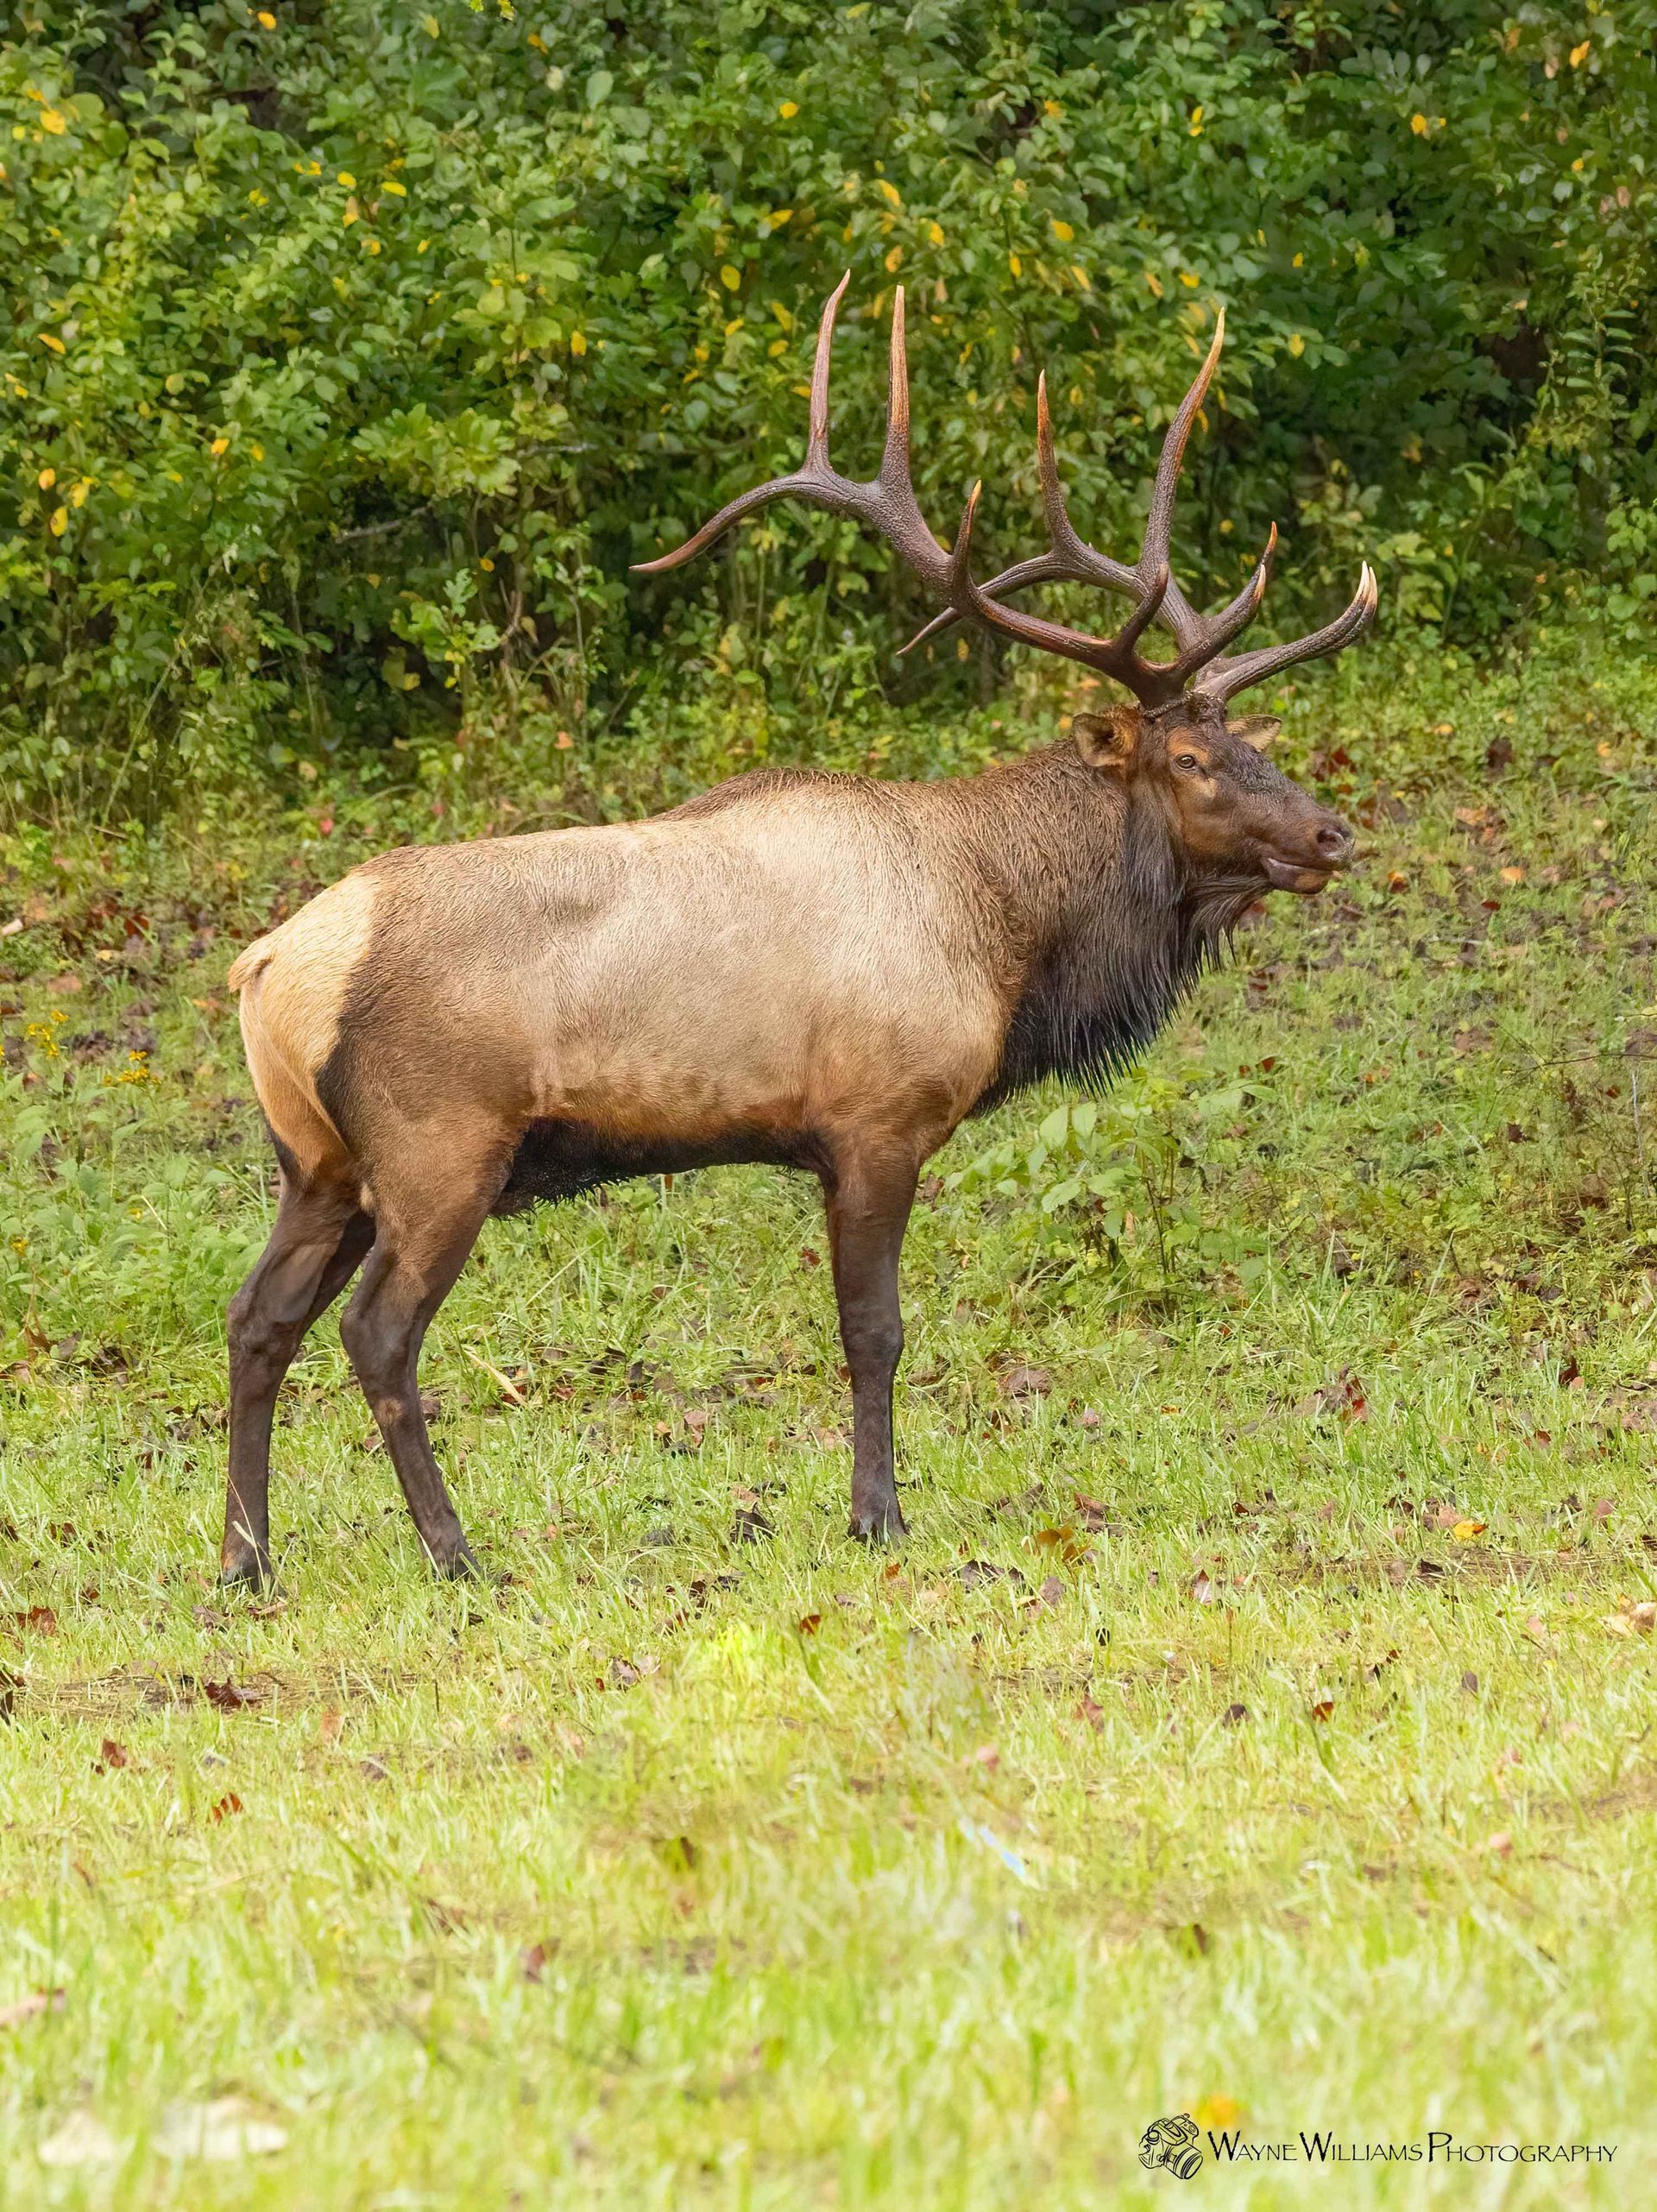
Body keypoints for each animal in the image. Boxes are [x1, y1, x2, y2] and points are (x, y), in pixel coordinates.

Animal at [220, 276, 1374, 1585]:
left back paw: (247, 1557)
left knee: (257, 1318)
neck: (1003, 935)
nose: (1332, 832)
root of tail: (269, 968)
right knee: (376, 1332)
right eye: (1189, 760)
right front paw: (877, 1514)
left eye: (1251, 740)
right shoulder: (877, 1121)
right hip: (437, 1146)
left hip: (317, 1161)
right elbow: (875, 1328)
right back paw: (455, 1550)